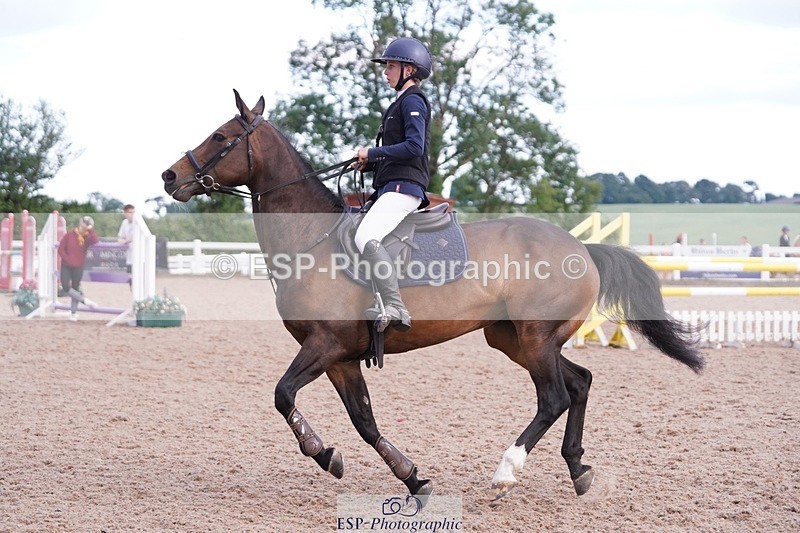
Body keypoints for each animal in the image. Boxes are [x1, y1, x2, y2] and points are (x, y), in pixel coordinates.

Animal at [161, 89, 704, 500]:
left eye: (222, 137)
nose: (170, 177)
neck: (311, 239)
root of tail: (581, 248)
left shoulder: (324, 345)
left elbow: (282, 395)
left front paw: (322, 452)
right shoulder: (341, 357)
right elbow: (363, 420)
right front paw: (410, 477)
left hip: (535, 339)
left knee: (553, 397)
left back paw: (507, 470)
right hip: (514, 340)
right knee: (580, 383)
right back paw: (578, 471)